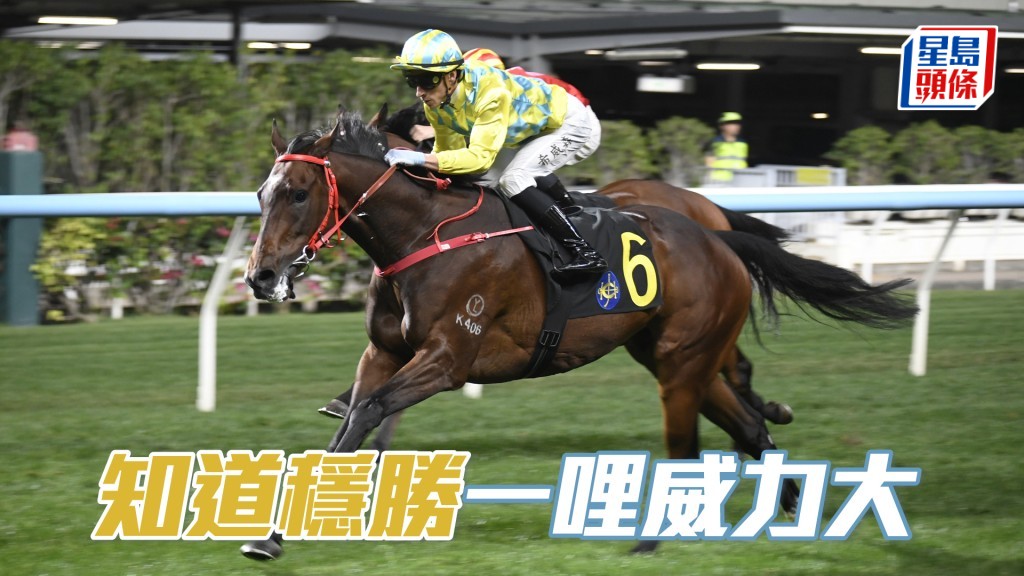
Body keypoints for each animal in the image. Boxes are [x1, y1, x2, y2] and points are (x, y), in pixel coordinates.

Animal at [242, 112, 916, 559]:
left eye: (298, 193)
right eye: (261, 193)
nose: (260, 276)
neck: (425, 234)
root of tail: (716, 235)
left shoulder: (448, 357)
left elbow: (370, 412)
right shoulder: (384, 353)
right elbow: (355, 419)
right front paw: (273, 535)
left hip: (683, 359)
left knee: (696, 437)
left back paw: (653, 538)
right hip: (672, 354)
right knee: (746, 424)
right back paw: (794, 504)